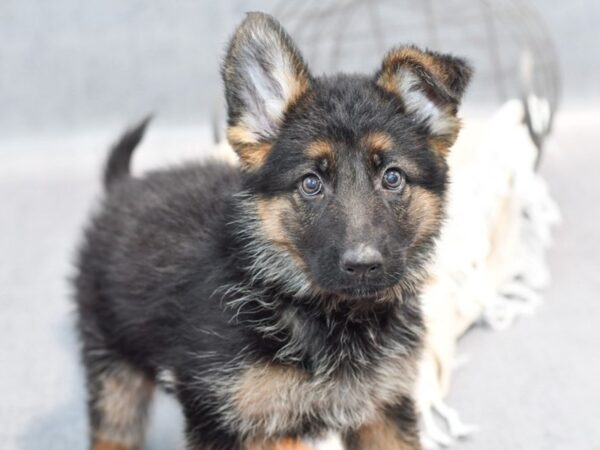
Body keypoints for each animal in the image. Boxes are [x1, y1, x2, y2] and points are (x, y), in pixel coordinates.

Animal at [74, 10, 468, 450]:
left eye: (393, 177)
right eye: (311, 183)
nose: (364, 265)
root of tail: (123, 186)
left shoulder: (383, 408)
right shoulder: (228, 419)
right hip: (113, 369)